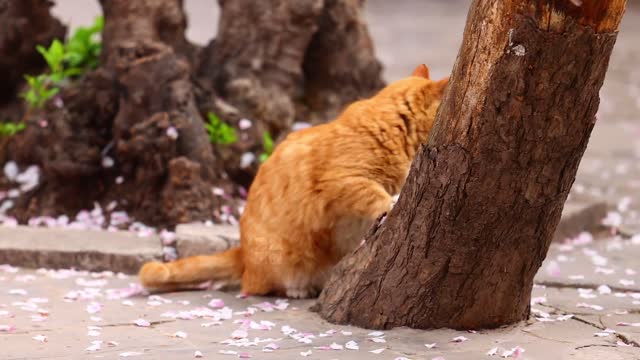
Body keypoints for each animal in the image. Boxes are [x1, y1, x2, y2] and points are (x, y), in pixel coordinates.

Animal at [139, 64, 450, 298]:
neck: (392, 130)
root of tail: (243, 252)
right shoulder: (341, 181)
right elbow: (373, 193)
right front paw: (391, 202)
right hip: (281, 259)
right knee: (260, 286)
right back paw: (299, 290)